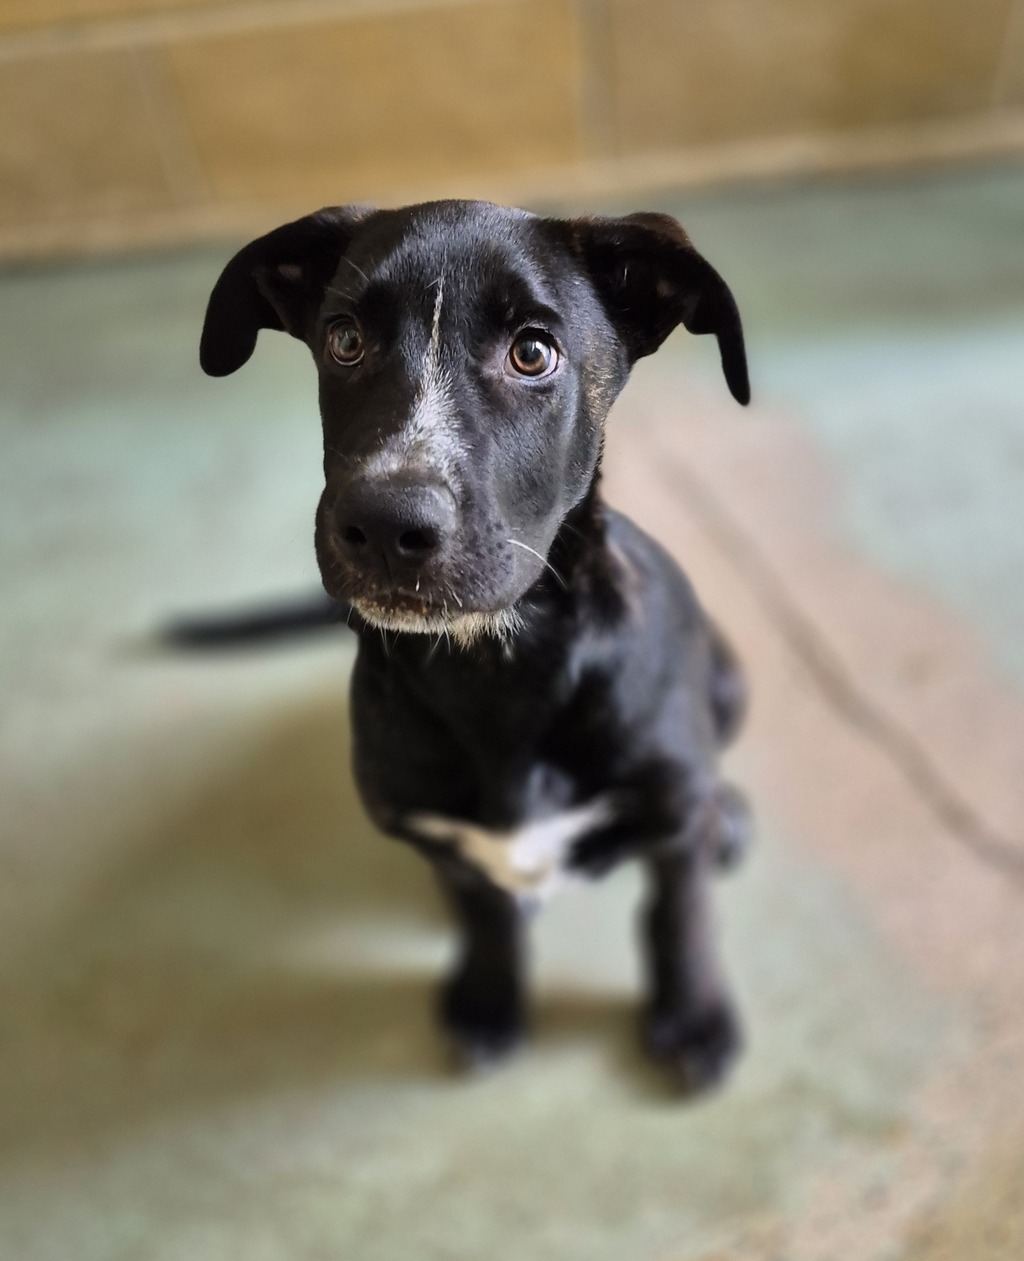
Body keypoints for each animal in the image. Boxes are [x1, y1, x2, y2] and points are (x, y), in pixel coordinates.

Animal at [199, 200, 752, 1091]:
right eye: (344, 340)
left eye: (533, 351)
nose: (385, 524)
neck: (497, 673)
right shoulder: (432, 828)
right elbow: (487, 914)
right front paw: (490, 999)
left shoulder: (670, 821)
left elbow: (679, 912)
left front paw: (694, 1016)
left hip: (729, 684)